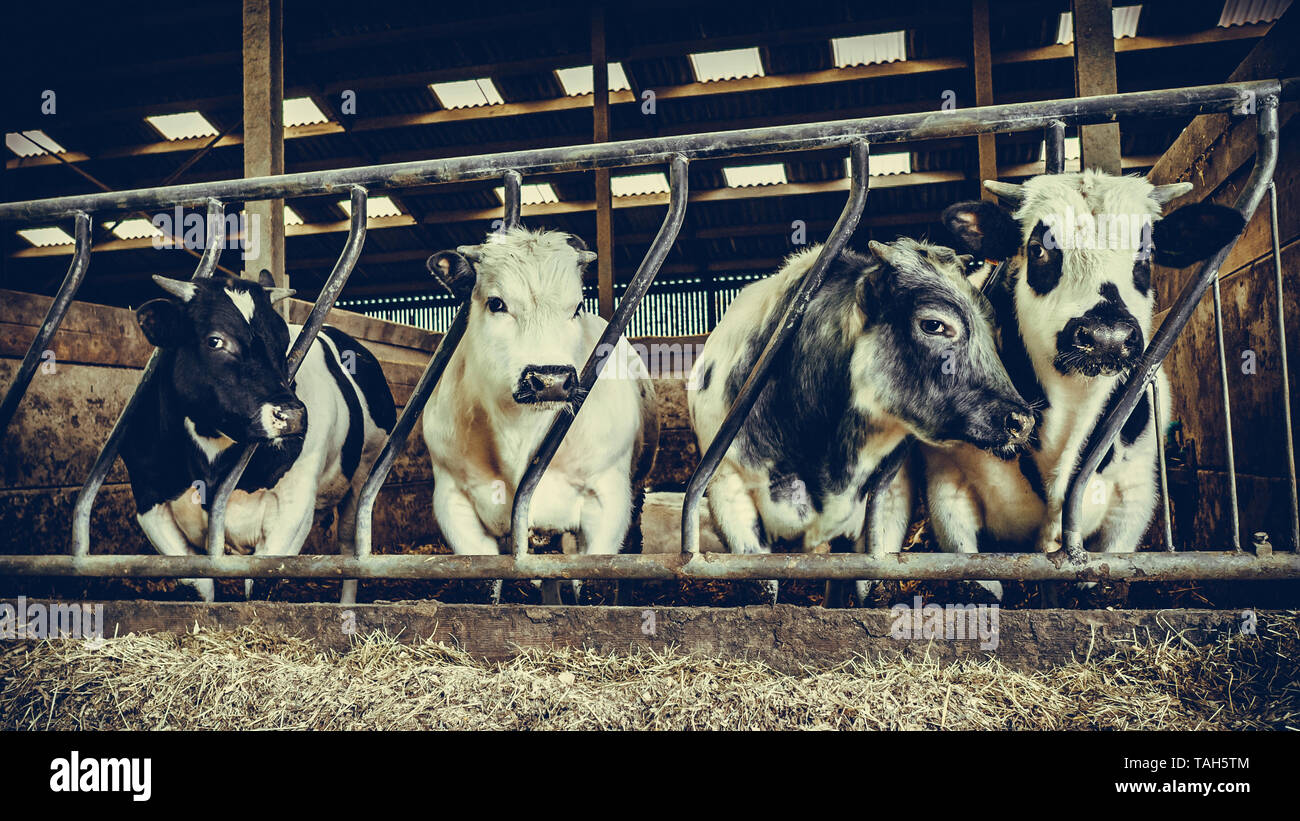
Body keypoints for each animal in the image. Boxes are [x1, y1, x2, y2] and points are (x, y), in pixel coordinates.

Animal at [123, 271, 397, 603]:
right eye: (215, 340)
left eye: (284, 342)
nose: (292, 415)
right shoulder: (148, 499)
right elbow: (198, 586)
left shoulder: (294, 503)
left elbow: (263, 581)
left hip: (363, 473)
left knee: (349, 547)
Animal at [421, 227, 658, 604]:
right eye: (496, 303)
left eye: (577, 307)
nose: (551, 380)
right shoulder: (453, 498)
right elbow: (484, 580)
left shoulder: (608, 498)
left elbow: (592, 580)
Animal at [687, 237, 1035, 603]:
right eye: (934, 324)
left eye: (993, 327)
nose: (1021, 420)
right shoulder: (728, 488)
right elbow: (760, 588)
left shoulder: (890, 497)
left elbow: (871, 585)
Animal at [920, 171, 1246, 600]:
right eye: (1038, 249)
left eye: (1146, 254)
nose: (1107, 337)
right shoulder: (946, 482)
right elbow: (976, 585)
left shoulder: (1135, 494)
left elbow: (1099, 585)